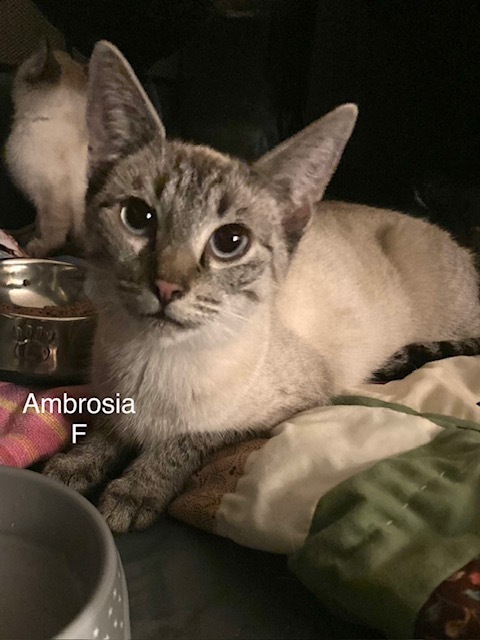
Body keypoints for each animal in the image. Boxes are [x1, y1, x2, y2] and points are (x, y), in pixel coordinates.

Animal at [4, 40, 88, 258]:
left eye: (27, 62)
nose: (13, 67)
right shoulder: (40, 200)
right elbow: (37, 224)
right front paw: (21, 238)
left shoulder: (53, 198)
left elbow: (51, 233)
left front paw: (34, 249)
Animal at [44, 38, 480, 528]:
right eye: (138, 217)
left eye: (230, 242)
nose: (167, 288)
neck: (151, 363)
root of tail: (462, 246)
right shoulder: (107, 396)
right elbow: (107, 430)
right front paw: (76, 466)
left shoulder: (298, 401)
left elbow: (183, 440)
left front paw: (135, 491)